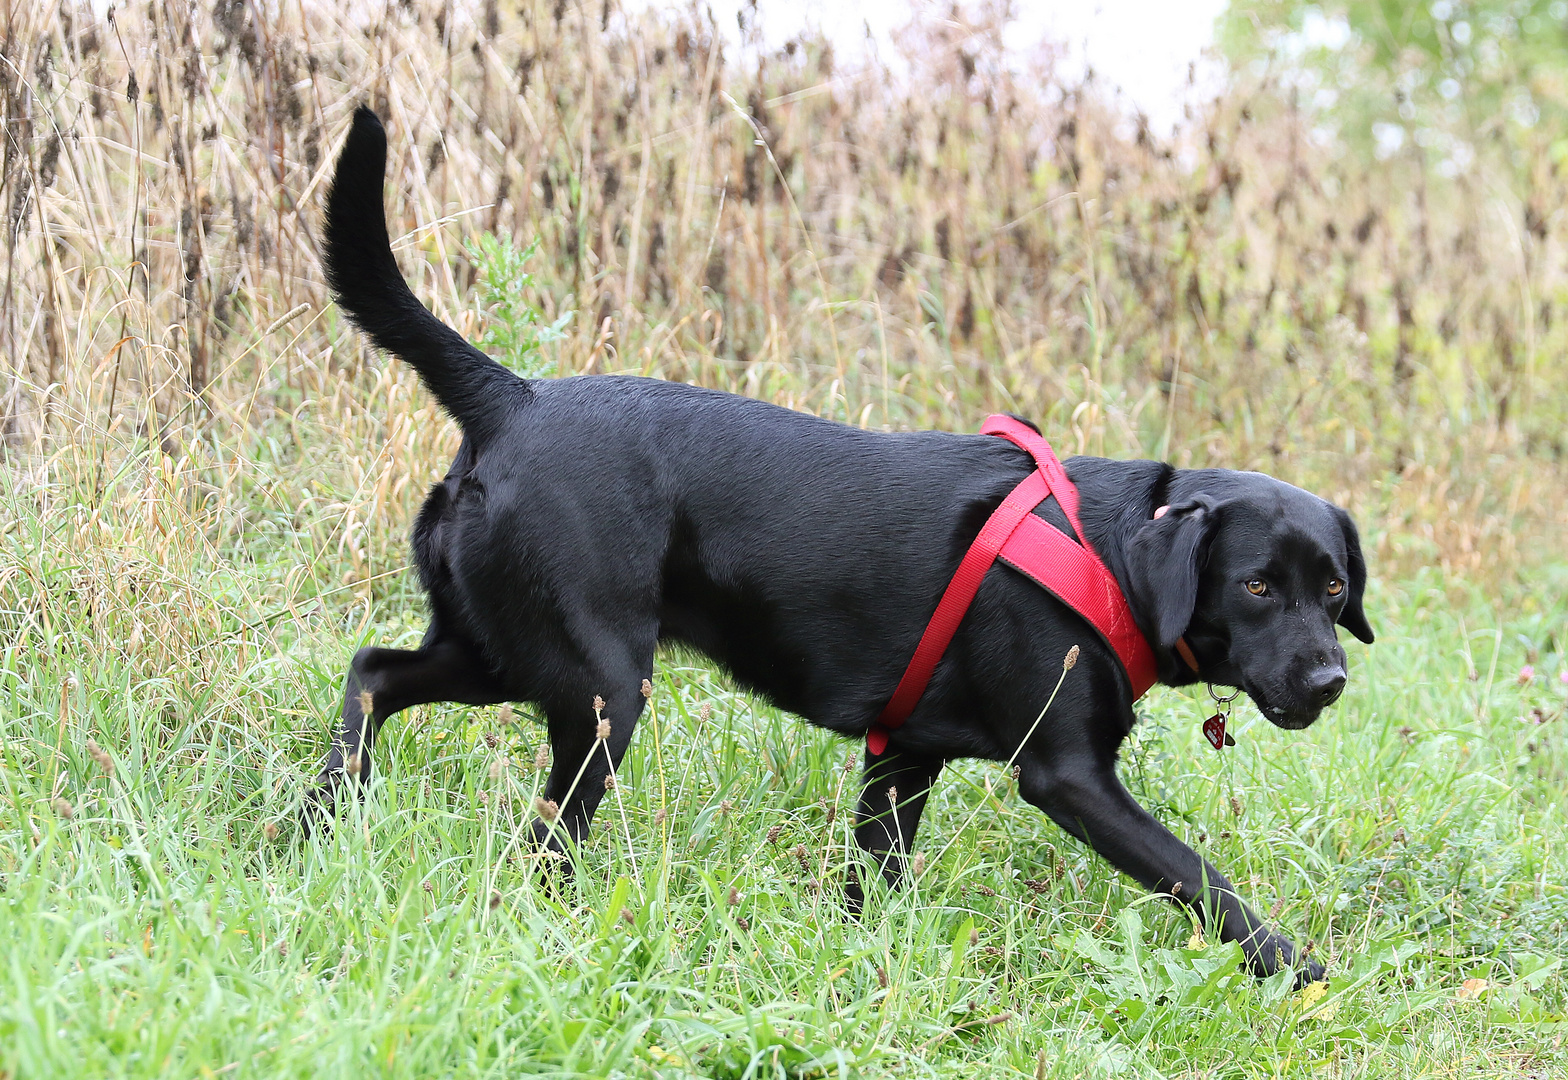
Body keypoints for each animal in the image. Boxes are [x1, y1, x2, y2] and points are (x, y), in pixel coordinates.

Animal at [315, 109, 1373, 984]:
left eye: (1331, 589)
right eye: (1256, 587)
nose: (1330, 681)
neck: (1108, 550)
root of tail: (514, 396)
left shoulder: (902, 758)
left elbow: (877, 884)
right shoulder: (1067, 775)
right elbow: (1202, 877)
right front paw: (1299, 971)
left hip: (502, 648)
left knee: (373, 672)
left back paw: (327, 812)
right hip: (602, 688)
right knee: (544, 835)